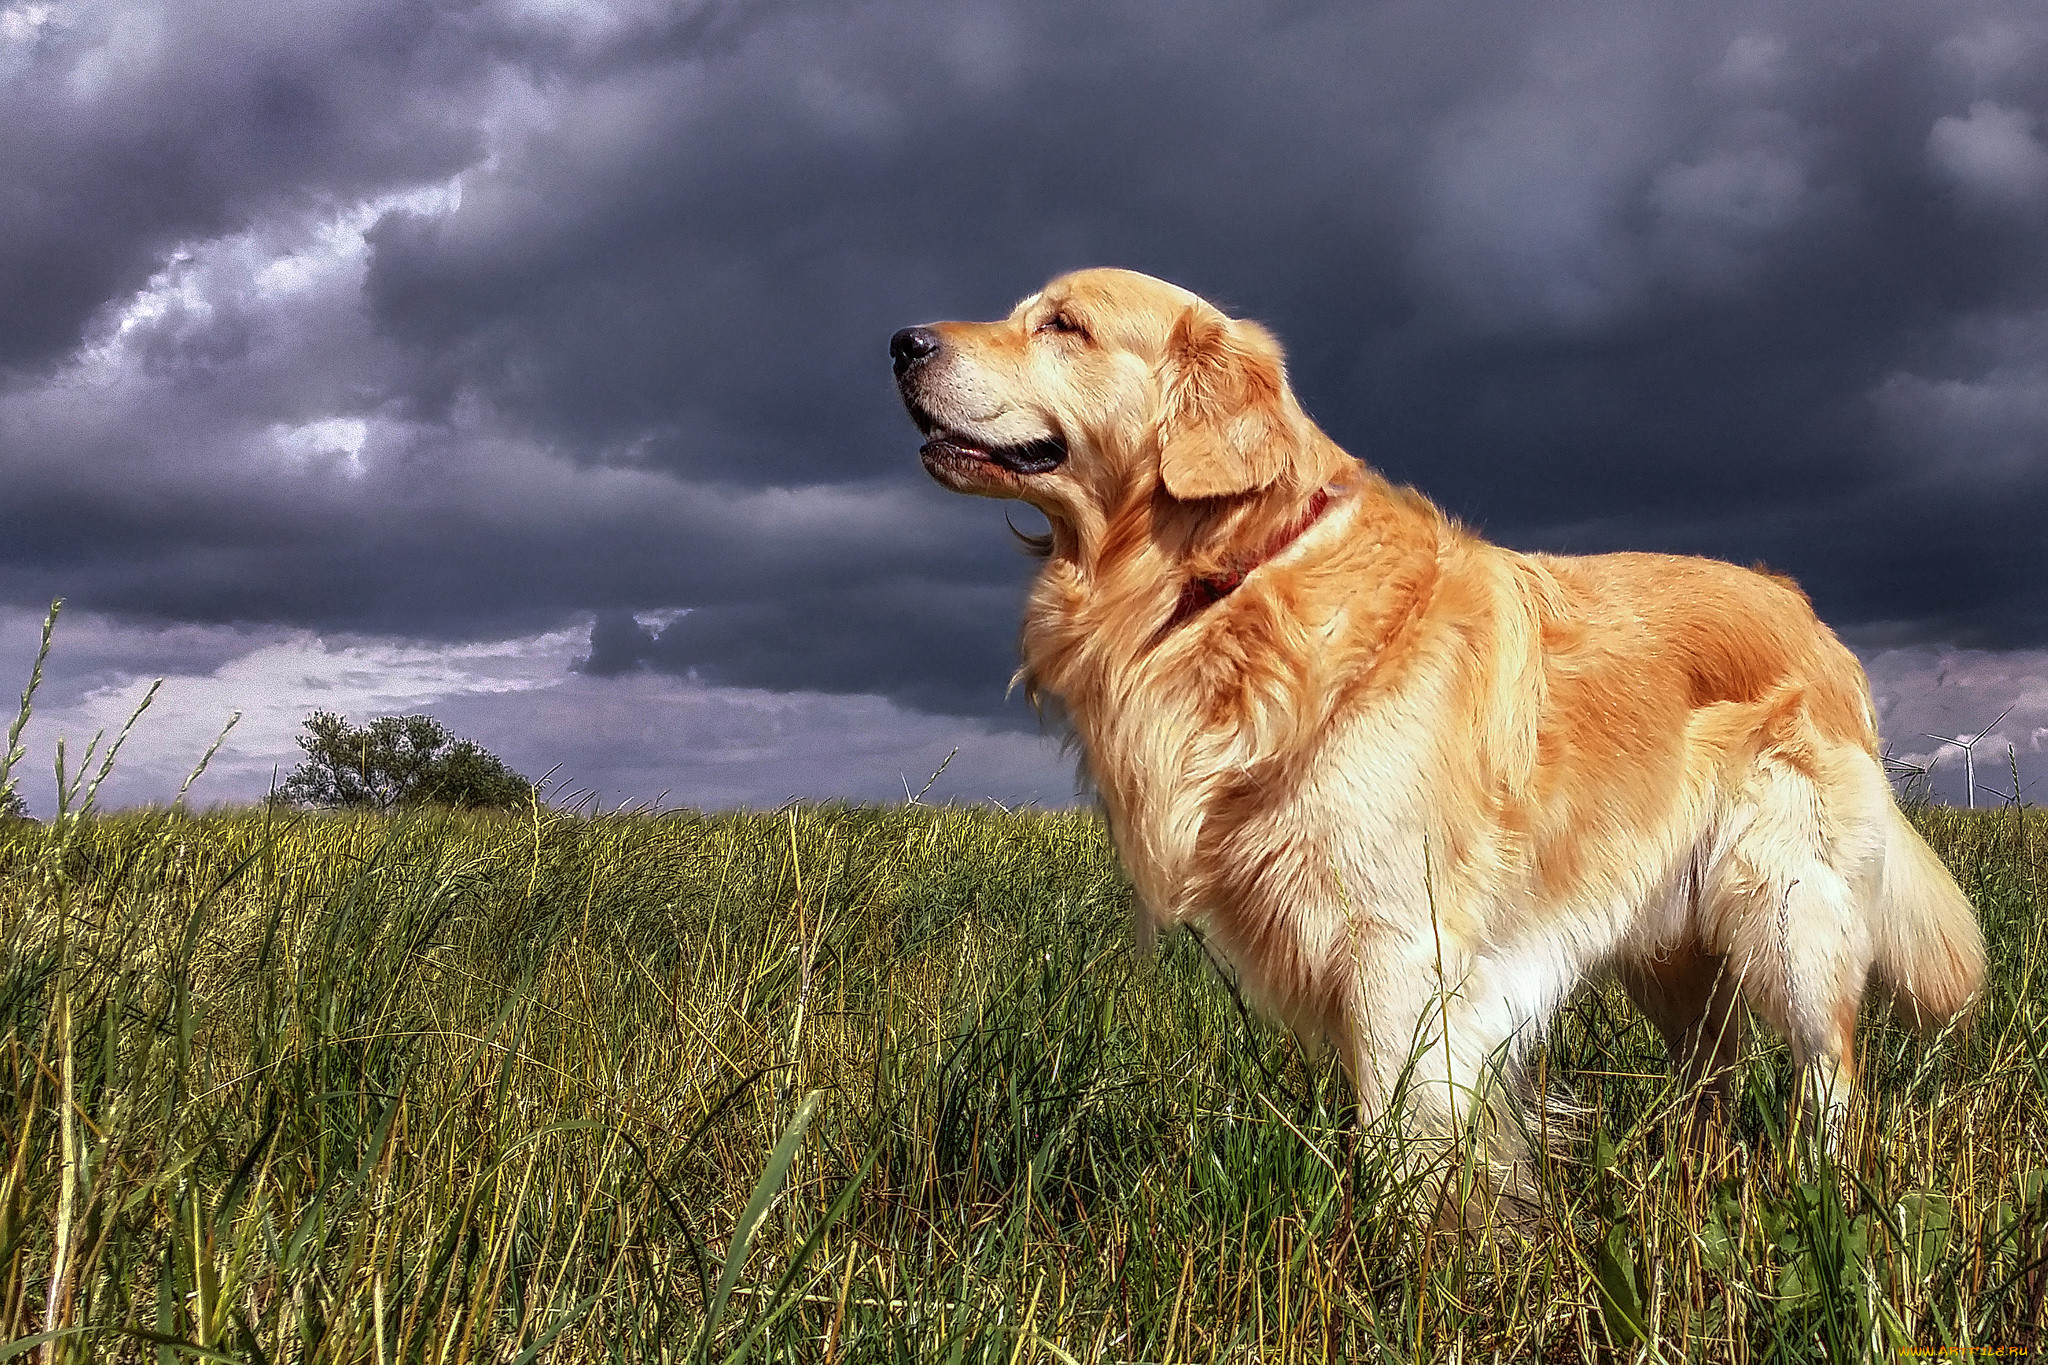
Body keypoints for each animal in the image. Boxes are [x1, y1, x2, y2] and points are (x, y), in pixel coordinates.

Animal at [892, 270, 1982, 1186]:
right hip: (1663, 937)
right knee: (1710, 1067)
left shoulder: (1394, 943)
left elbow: (1398, 1136)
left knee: (1829, 1071)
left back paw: (1820, 1192)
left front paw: (1403, 1258)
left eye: (1063, 325)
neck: (1228, 581)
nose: (901, 341)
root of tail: (1804, 609)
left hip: (1789, 908)